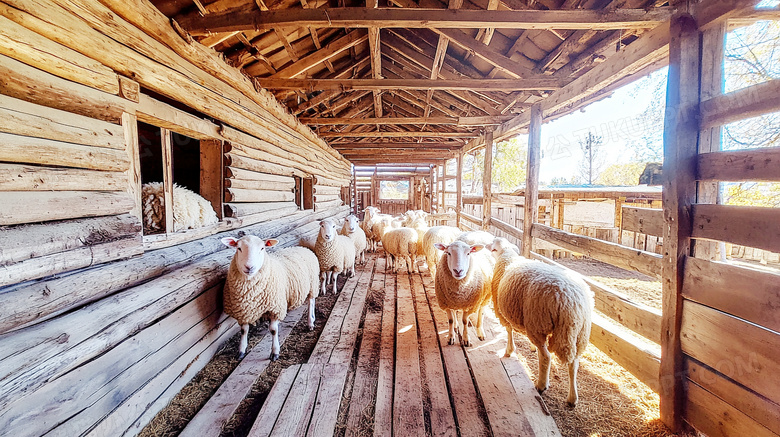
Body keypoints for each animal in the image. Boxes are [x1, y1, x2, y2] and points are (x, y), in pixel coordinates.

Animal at [490, 235, 596, 406]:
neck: (507, 257)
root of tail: (571, 300)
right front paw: (531, 348)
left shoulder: (502, 311)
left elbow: (509, 330)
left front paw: (509, 351)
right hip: (580, 333)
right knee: (574, 364)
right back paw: (572, 398)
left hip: (537, 323)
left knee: (546, 356)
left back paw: (541, 385)